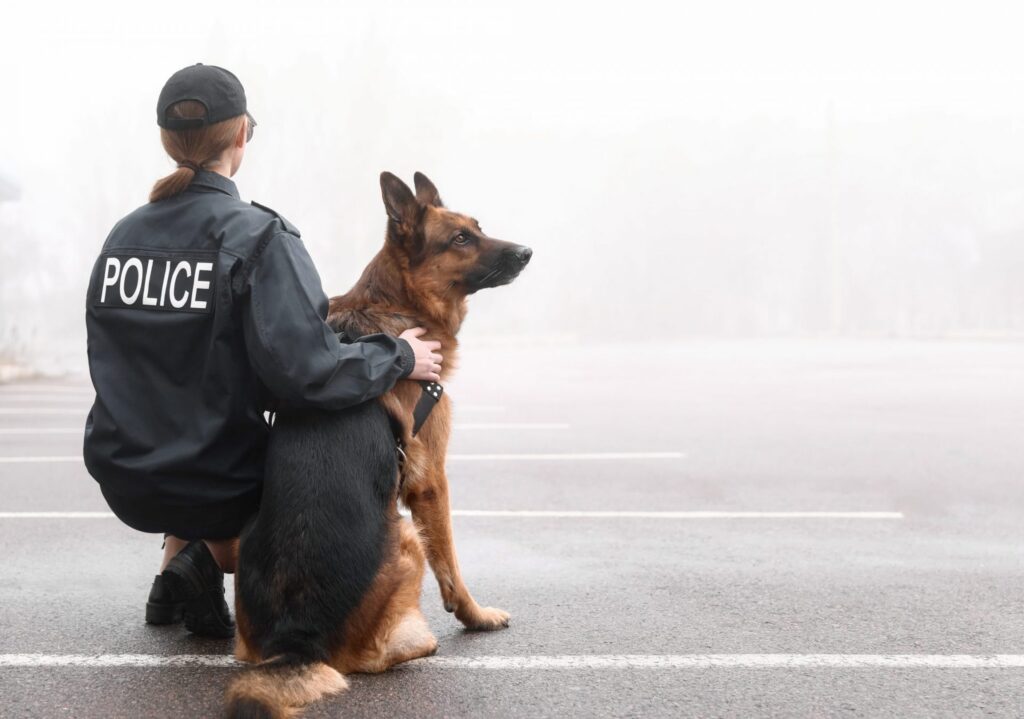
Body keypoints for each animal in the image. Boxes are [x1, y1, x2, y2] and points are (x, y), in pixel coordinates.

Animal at [223, 172, 528, 716]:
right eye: (460, 239)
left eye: (477, 227)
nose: (527, 252)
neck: (398, 305)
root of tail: (296, 641)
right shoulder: (430, 483)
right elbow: (453, 567)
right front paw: (476, 617)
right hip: (405, 535)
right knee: (372, 658)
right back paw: (420, 640)